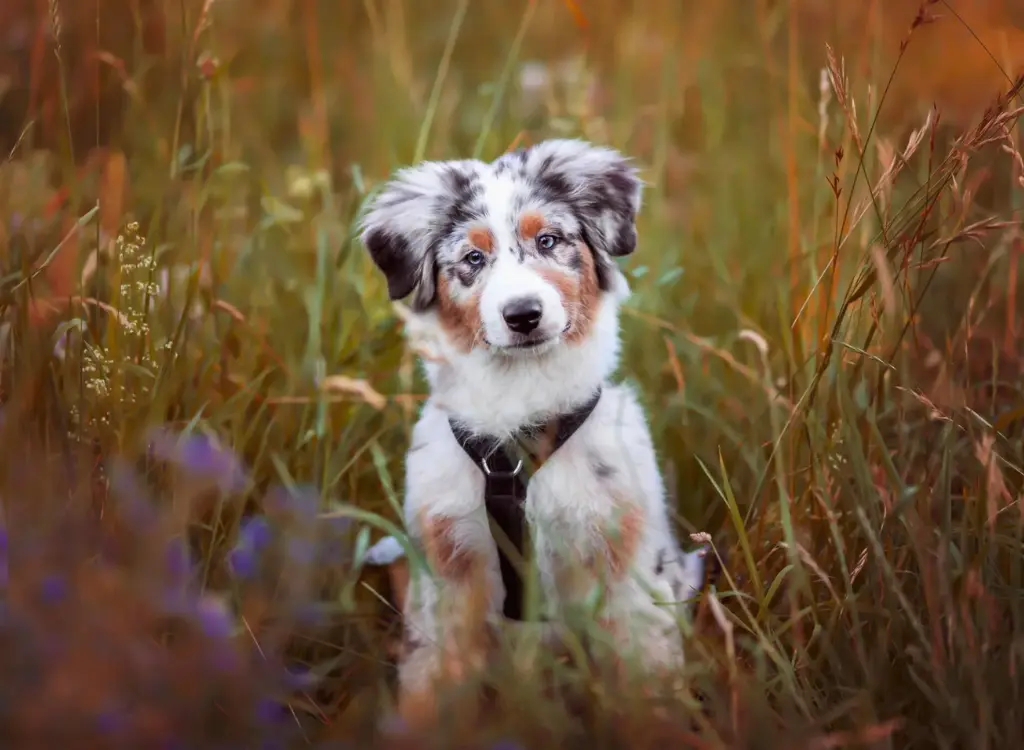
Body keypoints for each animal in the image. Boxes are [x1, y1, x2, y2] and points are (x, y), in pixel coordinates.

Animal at [358, 137, 704, 717]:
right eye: (473, 259)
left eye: (548, 240)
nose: (523, 315)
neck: (520, 418)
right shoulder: (447, 568)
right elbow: (432, 679)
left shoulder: (627, 559)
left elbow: (644, 673)